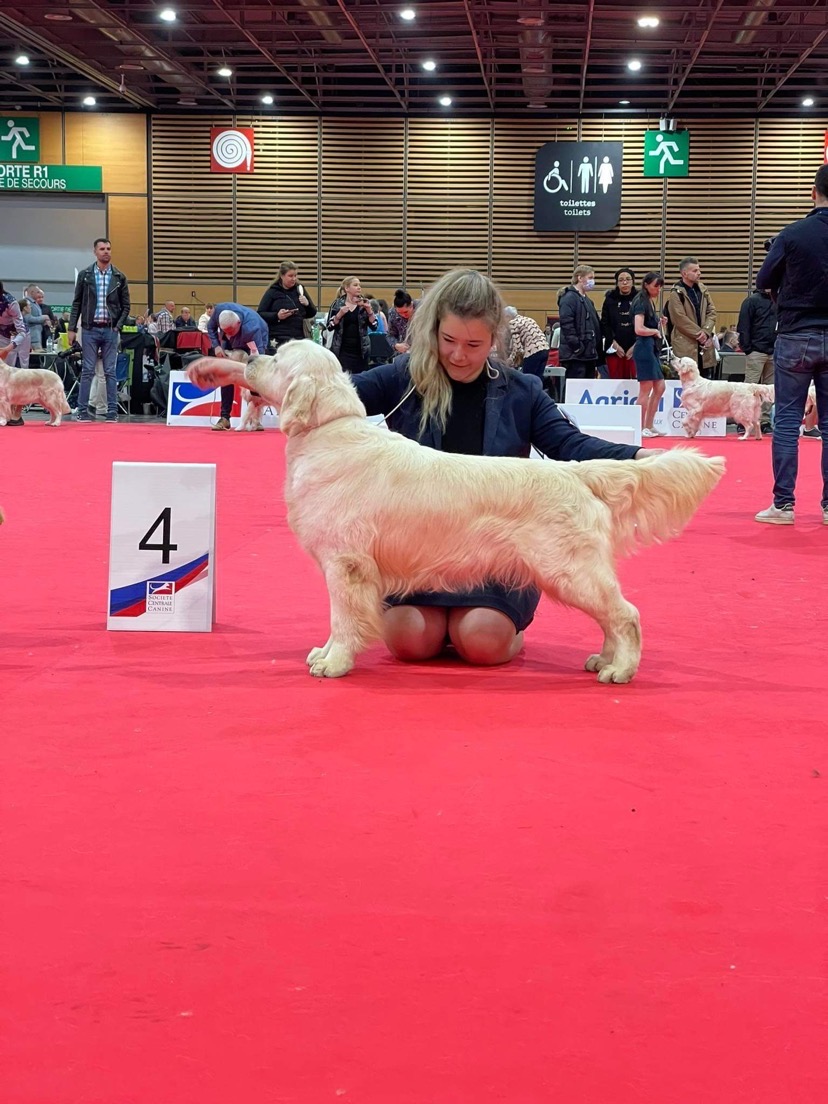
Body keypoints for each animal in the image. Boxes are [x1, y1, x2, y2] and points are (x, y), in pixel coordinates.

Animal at [186, 337, 724, 680]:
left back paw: (621, 669)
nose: (248, 359)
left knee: (626, 614)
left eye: (279, 357)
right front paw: (325, 652)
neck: (327, 432)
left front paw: (334, 662)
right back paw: (603, 659)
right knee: (612, 617)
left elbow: (343, 619)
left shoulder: (346, 565)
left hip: (570, 571)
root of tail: (574, 471)